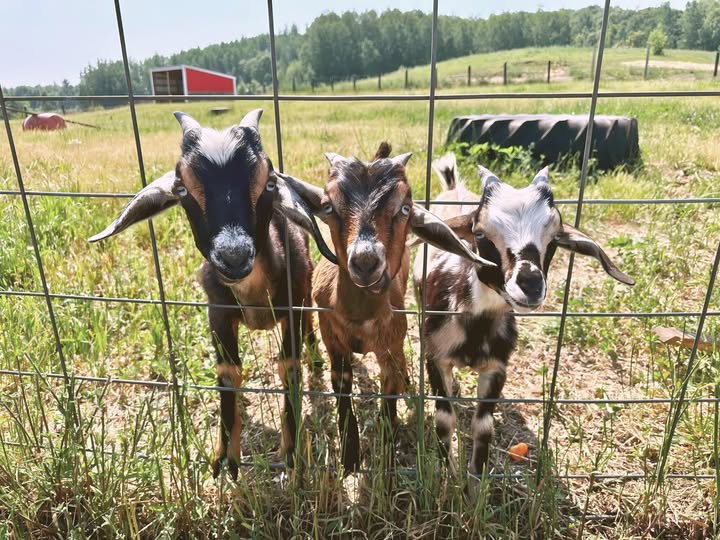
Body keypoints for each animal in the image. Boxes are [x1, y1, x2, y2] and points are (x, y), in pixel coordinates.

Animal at [89, 109, 333, 479]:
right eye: (182, 188)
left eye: (269, 184)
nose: (233, 256)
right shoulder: (216, 311)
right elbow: (228, 373)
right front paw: (226, 455)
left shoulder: (292, 306)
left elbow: (289, 367)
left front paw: (292, 453)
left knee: (308, 331)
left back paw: (317, 361)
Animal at [273, 143, 495, 473]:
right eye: (327, 206)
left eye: (405, 208)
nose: (365, 261)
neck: (359, 316)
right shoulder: (334, 343)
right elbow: (342, 396)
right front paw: (350, 459)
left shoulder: (390, 345)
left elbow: (389, 407)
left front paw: (386, 464)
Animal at [413, 153, 635, 481]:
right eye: (480, 233)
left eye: (554, 239)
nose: (530, 285)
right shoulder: (435, 357)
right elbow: (443, 418)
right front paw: (448, 477)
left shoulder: (497, 368)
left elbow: (484, 427)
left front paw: (476, 482)